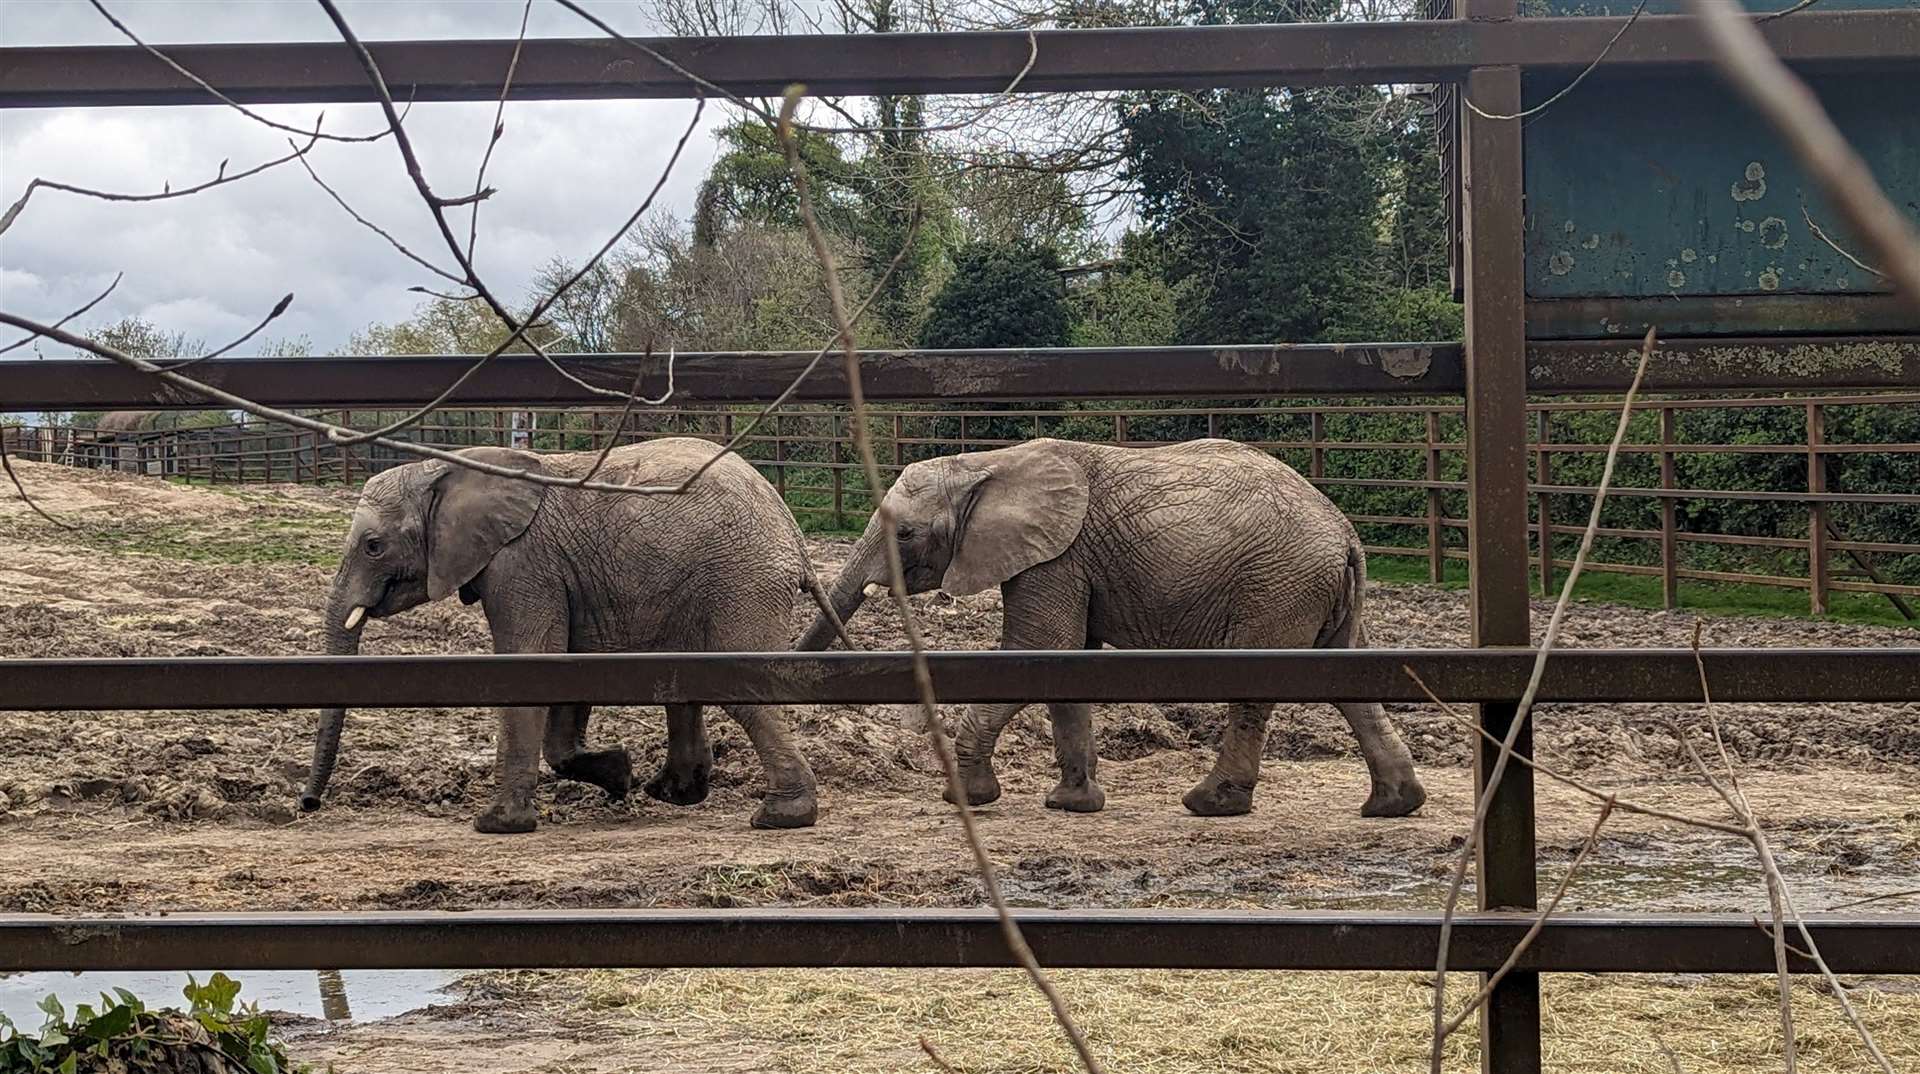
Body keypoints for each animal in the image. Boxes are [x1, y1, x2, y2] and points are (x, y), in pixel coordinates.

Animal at [305, 438, 833, 833]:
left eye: (374, 546)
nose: (308, 804)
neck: (447, 468)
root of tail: (792, 532)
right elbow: (564, 669)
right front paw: (620, 775)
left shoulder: (522, 563)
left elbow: (531, 661)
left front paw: (496, 825)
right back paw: (674, 794)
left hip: (739, 579)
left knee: (740, 688)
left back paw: (780, 817)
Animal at [791, 441, 1428, 818]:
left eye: (903, 534)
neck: (987, 463)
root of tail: (1344, 532)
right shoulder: (1064, 562)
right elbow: (1063, 664)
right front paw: (1072, 804)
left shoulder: (1056, 557)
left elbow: (1036, 651)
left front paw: (967, 798)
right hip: (1317, 591)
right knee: (1350, 683)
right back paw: (1393, 805)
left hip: (1278, 584)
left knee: (1258, 687)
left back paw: (1210, 804)